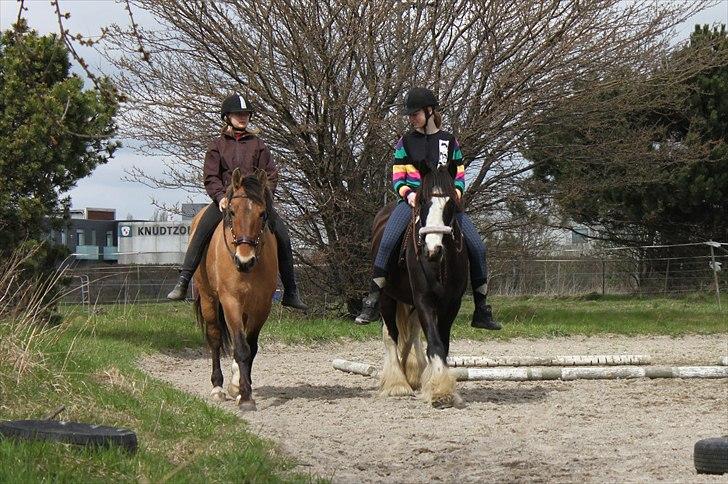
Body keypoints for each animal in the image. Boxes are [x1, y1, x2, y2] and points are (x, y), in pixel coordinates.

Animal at [191, 167, 278, 412]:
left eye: (262, 214)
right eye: (231, 211)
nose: (244, 260)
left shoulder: (262, 306)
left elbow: (251, 348)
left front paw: (241, 389)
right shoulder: (230, 301)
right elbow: (240, 347)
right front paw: (246, 397)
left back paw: (234, 383)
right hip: (209, 300)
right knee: (215, 338)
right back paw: (218, 388)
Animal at [372, 164, 470, 408]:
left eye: (451, 203)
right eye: (422, 202)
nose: (432, 249)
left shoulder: (451, 304)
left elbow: (441, 344)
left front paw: (436, 385)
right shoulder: (424, 299)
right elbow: (434, 343)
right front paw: (440, 391)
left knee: (411, 334)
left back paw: (413, 375)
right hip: (388, 297)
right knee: (391, 335)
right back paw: (397, 383)